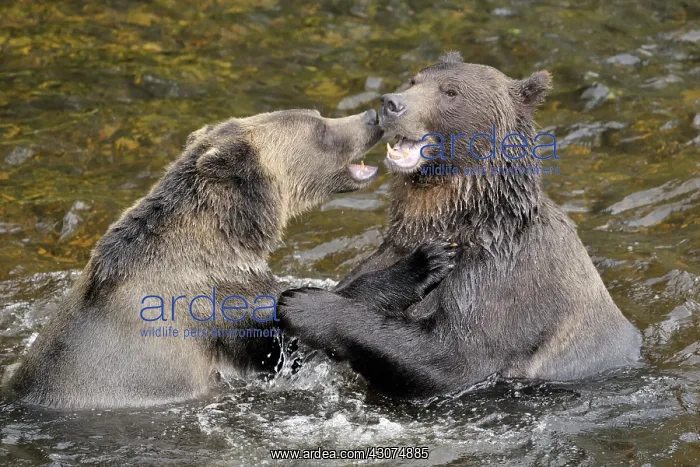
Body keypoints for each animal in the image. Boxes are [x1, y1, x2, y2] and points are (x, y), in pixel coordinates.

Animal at [8, 108, 456, 408]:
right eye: (319, 128)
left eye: (318, 114)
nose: (372, 115)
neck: (228, 237)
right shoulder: (213, 303)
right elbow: (288, 341)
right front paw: (425, 261)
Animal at [276, 53, 643, 398]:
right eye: (414, 80)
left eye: (450, 91)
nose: (390, 103)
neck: (463, 219)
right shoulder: (396, 249)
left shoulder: (500, 278)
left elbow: (451, 358)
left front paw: (304, 304)